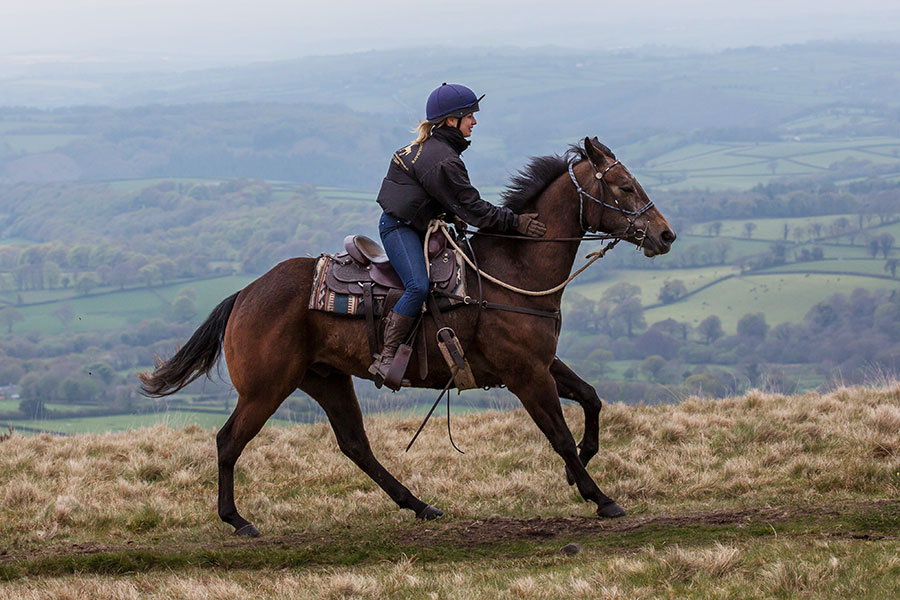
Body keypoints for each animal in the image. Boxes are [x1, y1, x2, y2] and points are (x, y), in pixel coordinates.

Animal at [139, 137, 676, 537]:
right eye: (625, 187)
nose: (666, 235)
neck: (514, 271)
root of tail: (246, 293)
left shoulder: (541, 365)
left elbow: (591, 398)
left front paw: (579, 468)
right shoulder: (526, 375)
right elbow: (559, 434)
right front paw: (601, 497)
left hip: (326, 379)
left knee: (356, 446)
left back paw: (419, 505)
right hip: (266, 389)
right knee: (229, 440)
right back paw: (237, 519)